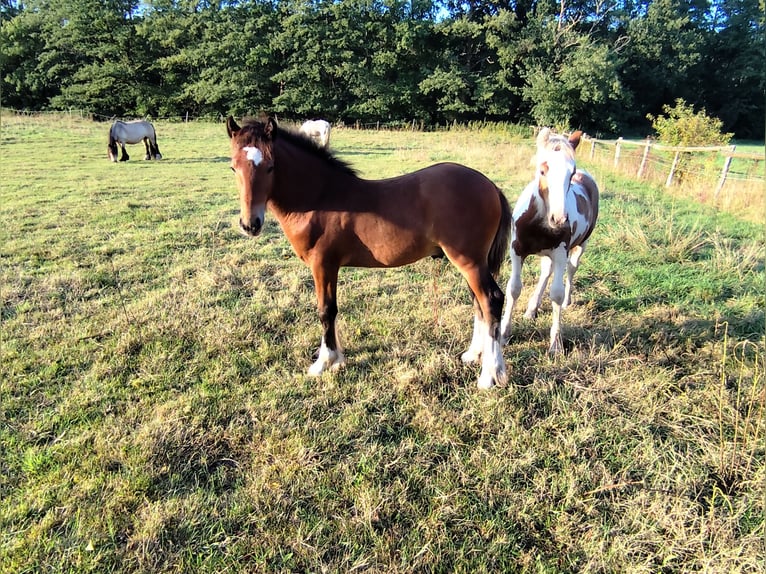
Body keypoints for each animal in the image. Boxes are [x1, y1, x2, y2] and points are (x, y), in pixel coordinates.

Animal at [228, 115, 516, 390]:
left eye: (270, 166)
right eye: (233, 167)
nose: (250, 224)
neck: (320, 198)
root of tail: (491, 186)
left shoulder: (322, 265)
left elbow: (325, 310)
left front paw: (323, 363)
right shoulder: (330, 267)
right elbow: (332, 310)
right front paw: (337, 360)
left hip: (469, 262)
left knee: (491, 300)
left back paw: (489, 377)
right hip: (472, 263)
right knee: (479, 303)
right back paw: (473, 355)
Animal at [500, 129, 604, 356]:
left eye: (571, 173)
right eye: (542, 170)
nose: (559, 219)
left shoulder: (560, 252)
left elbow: (556, 293)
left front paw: (556, 343)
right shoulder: (516, 250)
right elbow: (514, 288)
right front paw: (503, 334)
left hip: (581, 245)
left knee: (571, 269)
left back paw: (566, 301)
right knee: (546, 272)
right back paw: (531, 309)